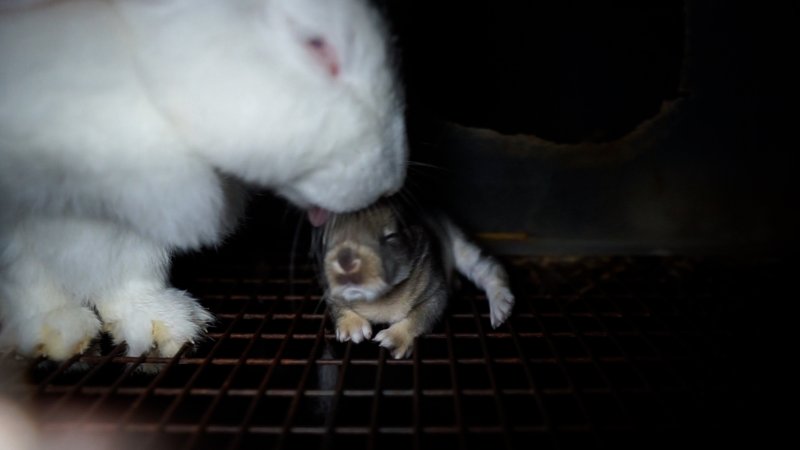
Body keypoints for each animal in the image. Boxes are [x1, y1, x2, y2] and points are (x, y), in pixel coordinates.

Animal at [0, 0, 410, 358]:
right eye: (316, 44)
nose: (391, 182)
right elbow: (28, 276)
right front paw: (58, 329)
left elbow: (129, 268)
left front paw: (164, 324)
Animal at [316, 200, 516, 358]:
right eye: (327, 240)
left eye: (390, 236)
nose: (346, 262)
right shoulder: (330, 293)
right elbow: (338, 307)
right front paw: (353, 329)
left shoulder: (435, 293)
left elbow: (418, 317)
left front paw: (391, 340)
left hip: (462, 246)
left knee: (490, 269)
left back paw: (501, 308)